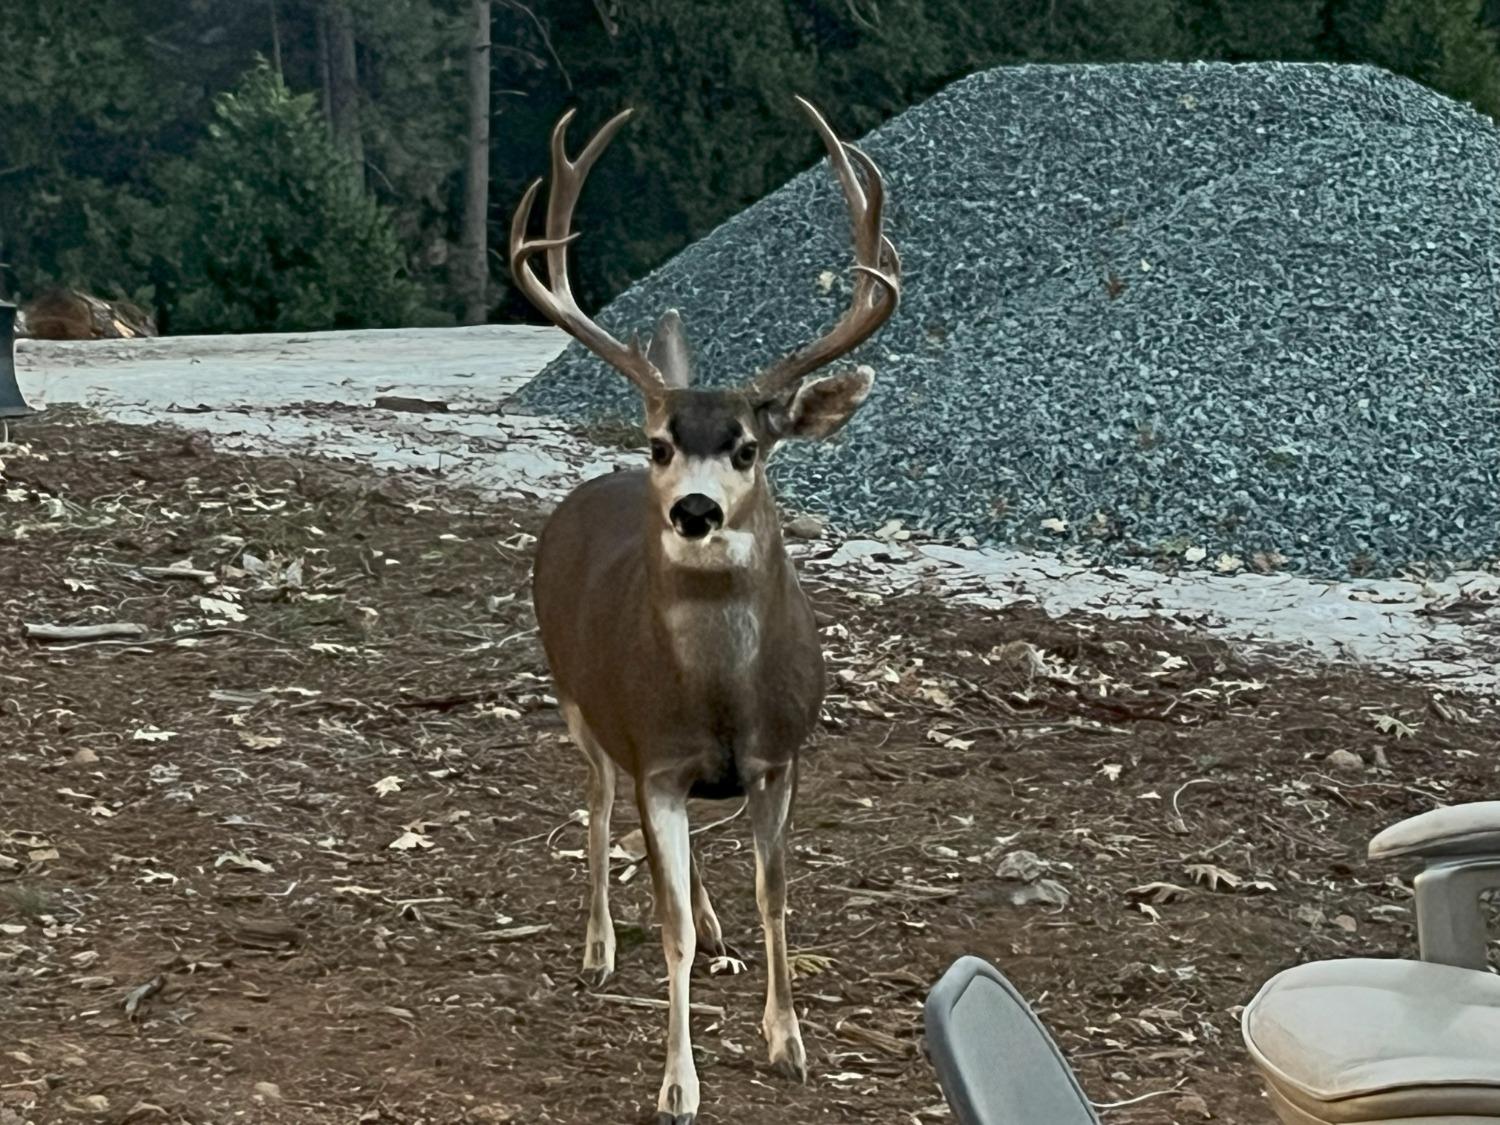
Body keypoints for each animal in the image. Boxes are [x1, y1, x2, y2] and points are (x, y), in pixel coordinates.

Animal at [510, 99, 894, 1125]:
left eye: (750, 447)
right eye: (659, 443)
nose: (693, 510)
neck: (722, 699)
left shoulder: (782, 755)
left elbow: (776, 895)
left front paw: (789, 1041)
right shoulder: (657, 758)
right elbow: (670, 921)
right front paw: (679, 1082)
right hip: (577, 701)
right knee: (596, 805)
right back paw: (600, 946)